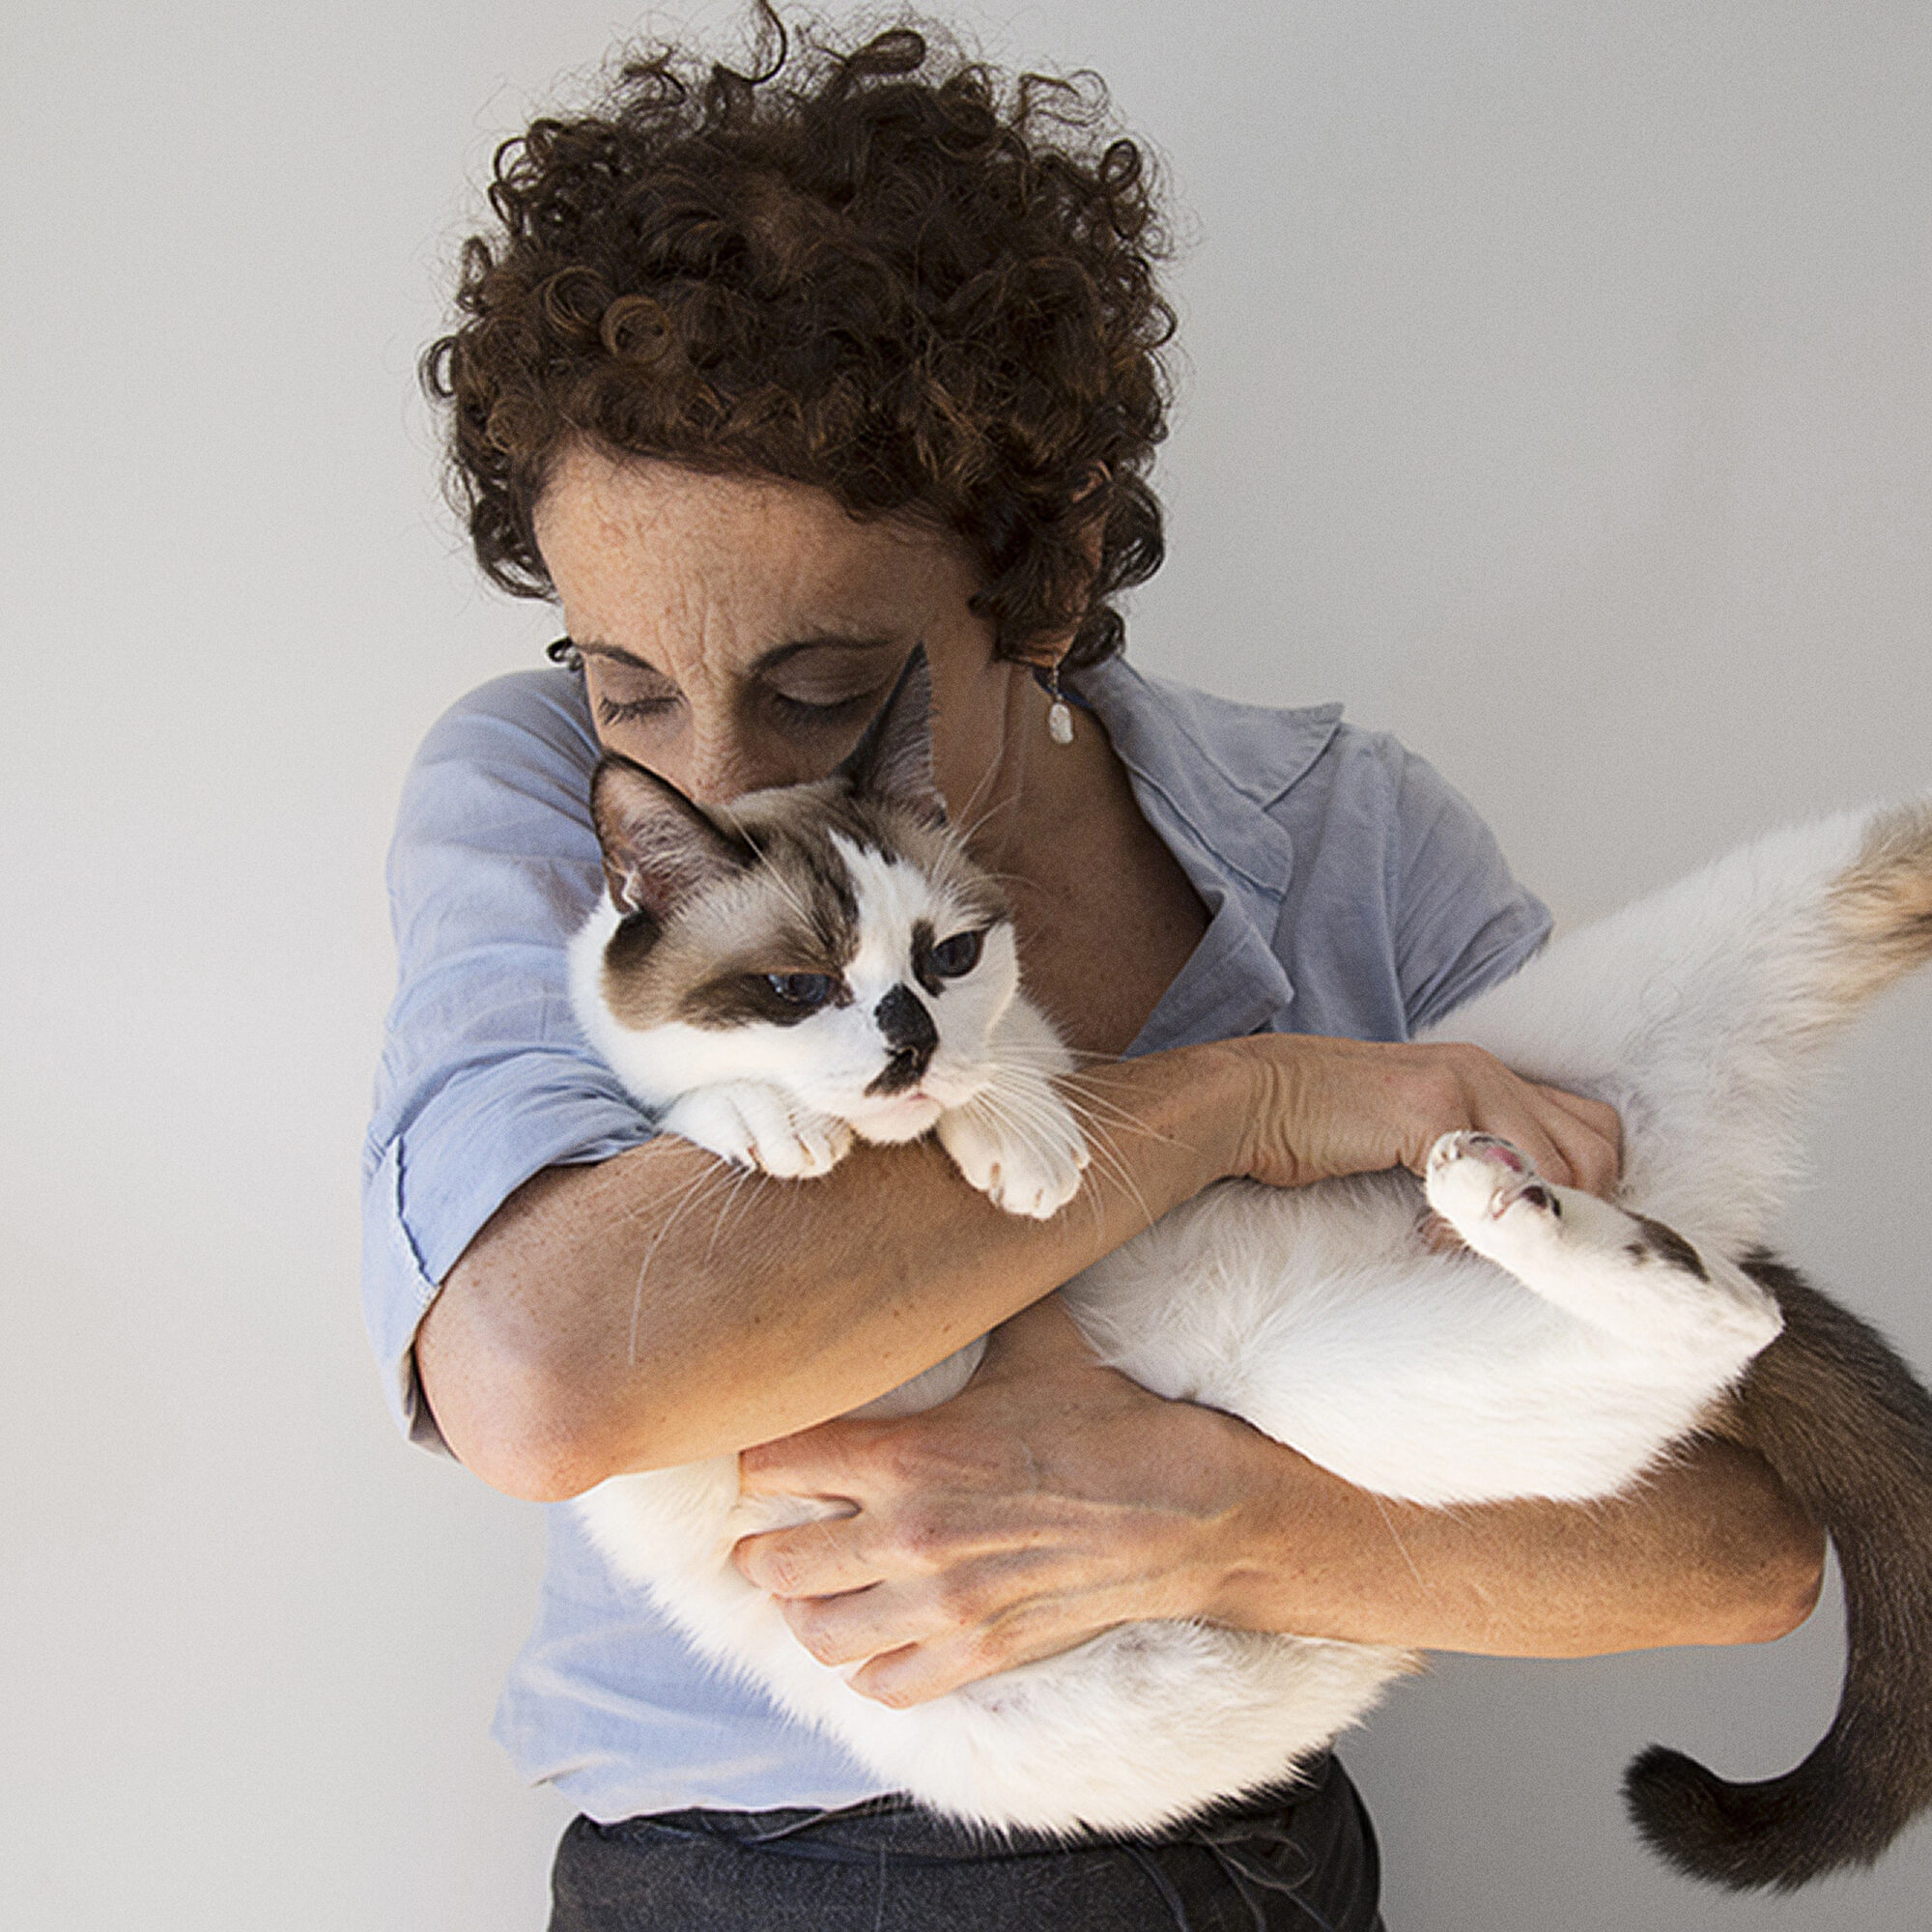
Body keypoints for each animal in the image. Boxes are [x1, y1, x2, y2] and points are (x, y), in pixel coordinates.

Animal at [564, 657, 1932, 1893]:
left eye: (945, 959)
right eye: (797, 986)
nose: (910, 1041)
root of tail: (1674, 1196)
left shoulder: (1022, 1059)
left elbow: (1019, 1064)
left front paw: (1014, 1140)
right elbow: (670, 1099)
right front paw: (774, 1120)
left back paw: (1505, 1193)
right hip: (1401, 1389)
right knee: (1728, 1316)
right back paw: (1503, 1199)